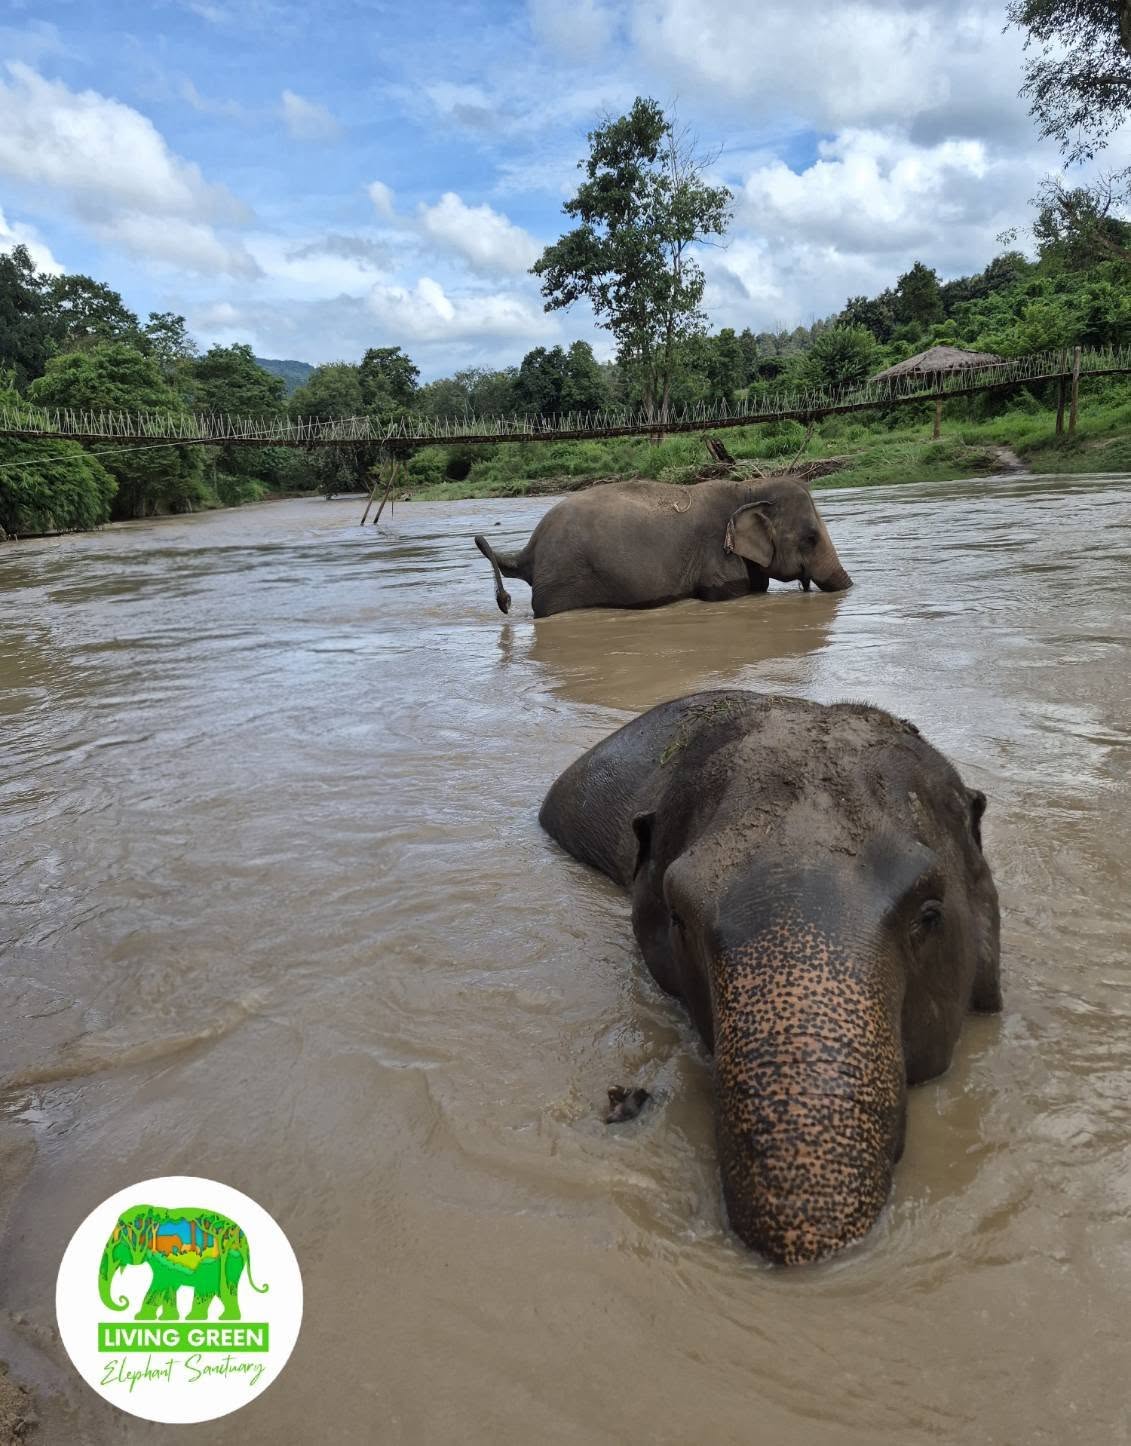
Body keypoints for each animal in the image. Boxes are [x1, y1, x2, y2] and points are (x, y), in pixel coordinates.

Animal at [98, 1205, 268, 1321]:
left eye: (119, 1240)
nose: (123, 1300)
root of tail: (245, 1242)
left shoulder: (164, 1259)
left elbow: (160, 1283)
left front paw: (142, 1318)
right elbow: (170, 1286)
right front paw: (167, 1319)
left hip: (223, 1263)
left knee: (214, 1289)